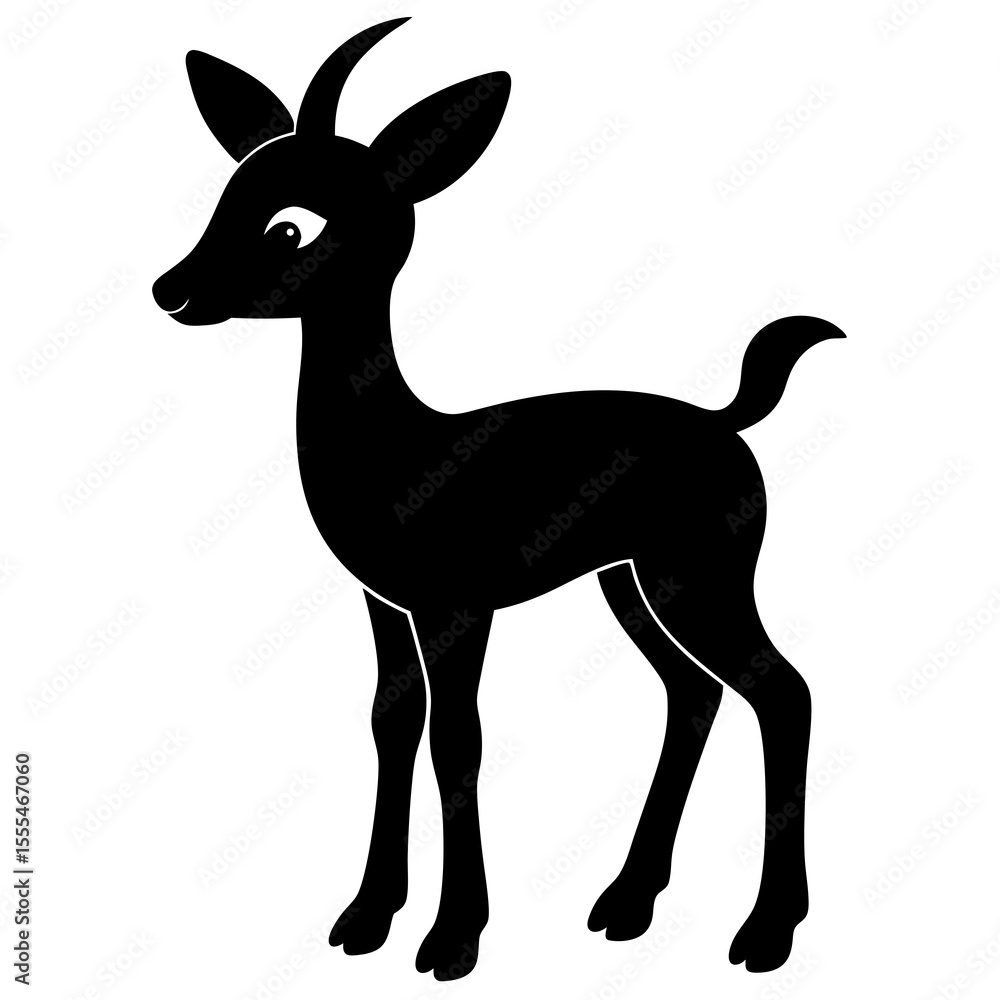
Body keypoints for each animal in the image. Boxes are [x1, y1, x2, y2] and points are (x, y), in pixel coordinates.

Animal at [153, 17, 844, 981]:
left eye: (292, 224)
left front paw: (452, 939)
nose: (171, 289)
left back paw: (766, 934)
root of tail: (721, 417)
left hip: (700, 579)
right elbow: (393, 721)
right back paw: (627, 904)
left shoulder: (457, 606)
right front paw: (366, 917)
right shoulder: (384, 601)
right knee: (693, 694)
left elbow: (459, 739)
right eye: (227, 193)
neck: (399, 442)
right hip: (631, 583)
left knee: (783, 692)